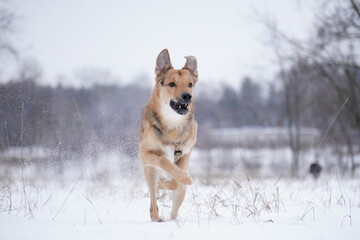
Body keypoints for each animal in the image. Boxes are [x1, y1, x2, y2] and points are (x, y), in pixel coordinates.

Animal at [139, 48, 198, 221]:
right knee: (153, 204)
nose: (187, 96)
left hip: (180, 194)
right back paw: (156, 217)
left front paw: (179, 178)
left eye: (190, 84)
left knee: (174, 209)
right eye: (171, 84)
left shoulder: (185, 156)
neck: (173, 124)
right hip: (150, 172)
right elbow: (164, 160)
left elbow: (177, 181)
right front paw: (168, 179)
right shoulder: (145, 153)